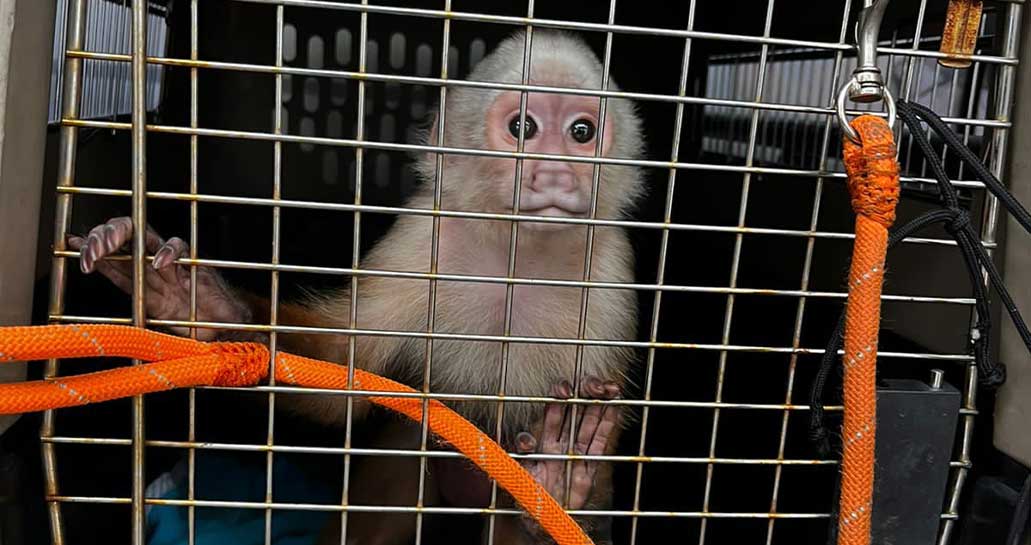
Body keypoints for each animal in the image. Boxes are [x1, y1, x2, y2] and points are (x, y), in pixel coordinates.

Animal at [68, 30, 646, 544]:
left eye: (581, 132)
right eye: (523, 126)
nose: (556, 175)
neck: (516, 255)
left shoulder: (610, 273)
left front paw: (565, 484)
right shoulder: (421, 240)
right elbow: (344, 369)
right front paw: (203, 305)